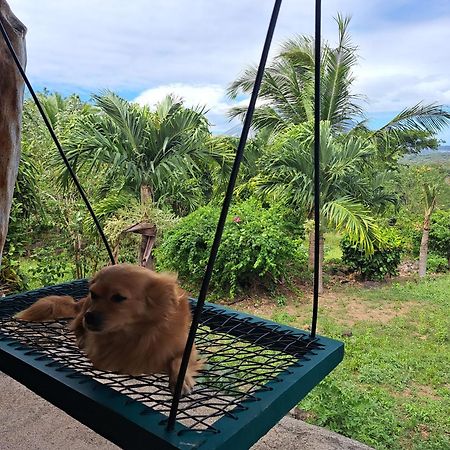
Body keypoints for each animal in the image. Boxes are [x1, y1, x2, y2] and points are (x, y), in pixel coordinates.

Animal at [15, 264, 202, 394]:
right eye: (94, 294)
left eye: (118, 298)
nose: (89, 317)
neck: (140, 333)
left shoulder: (187, 347)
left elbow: (179, 360)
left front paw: (181, 380)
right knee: (77, 326)